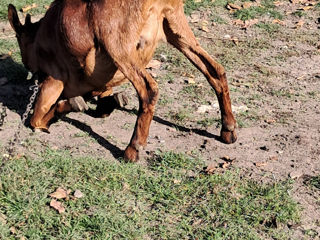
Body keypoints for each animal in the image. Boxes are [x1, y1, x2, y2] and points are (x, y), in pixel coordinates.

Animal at [8, 0, 238, 161]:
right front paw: (107, 103)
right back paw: (228, 129)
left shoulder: (53, 80)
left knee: (149, 89)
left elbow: (36, 119)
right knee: (215, 71)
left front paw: (64, 109)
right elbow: (103, 104)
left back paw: (132, 149)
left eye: (19, 41)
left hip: (117, 44)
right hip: (176, 28)